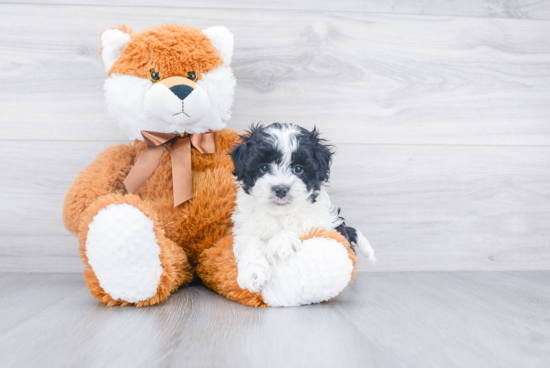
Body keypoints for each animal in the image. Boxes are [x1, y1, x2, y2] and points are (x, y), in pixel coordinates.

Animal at [229, 123, 376, 294]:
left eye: (298, 169)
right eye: (264, 167)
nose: (281, 189)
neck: (280, 214)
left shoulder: (322, 222)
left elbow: (302, 223)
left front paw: (280, 242)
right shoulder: (247, 226)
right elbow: (249, 242)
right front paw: (253, 272)